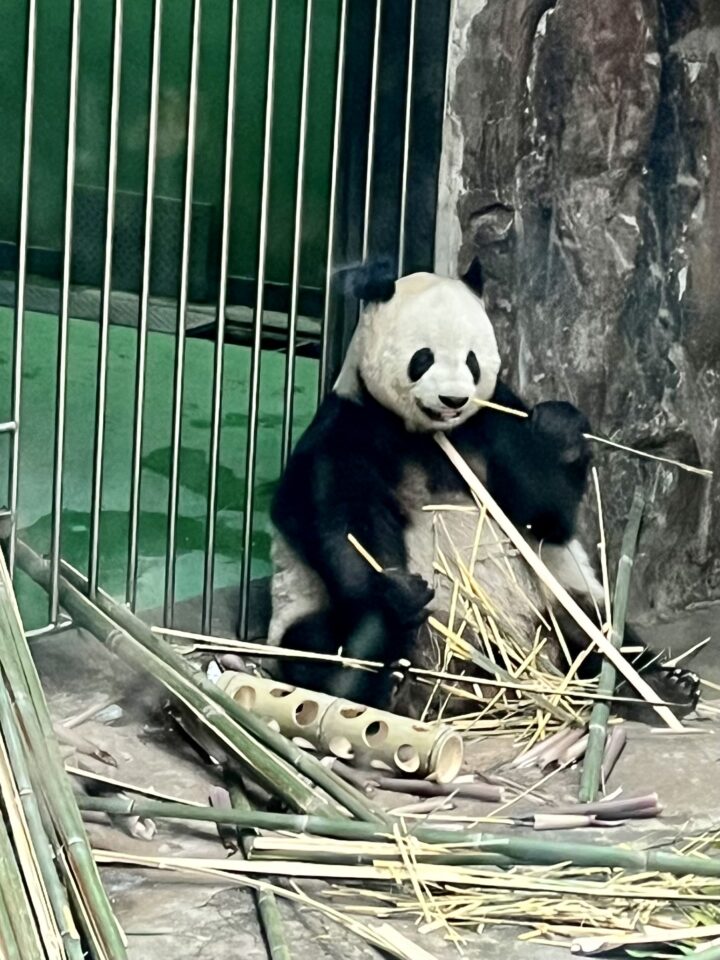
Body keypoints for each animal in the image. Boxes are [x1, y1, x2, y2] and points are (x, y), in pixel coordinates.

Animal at [267, 260, 699, 719]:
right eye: (423, 358)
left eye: (472, 361)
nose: (453, 399)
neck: (428, 434)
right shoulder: (348, 429)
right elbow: (341, 522)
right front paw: (399, 590)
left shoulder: (494, 421)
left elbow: (546, 514)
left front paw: (559, 429)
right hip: (314, 615)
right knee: (317, 643)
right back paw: (389, 685)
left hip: (554, 596)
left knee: (602, 631)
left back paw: (660, 687)